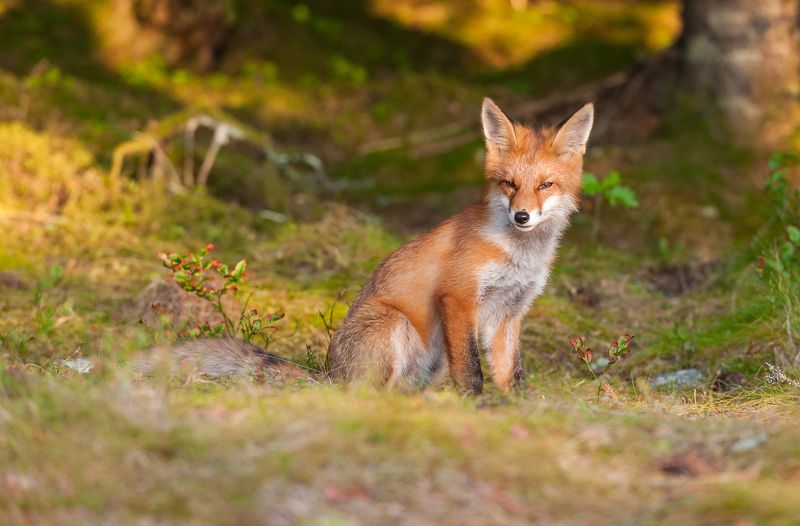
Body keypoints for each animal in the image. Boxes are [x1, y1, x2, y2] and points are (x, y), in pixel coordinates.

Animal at [139, 98, 593, 394]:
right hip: (396, 324)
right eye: (509, 184)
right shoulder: (458, 298)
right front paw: (476, 407)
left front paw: (515, 411)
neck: (519, 254)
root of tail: (329, 373)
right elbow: (472, 371)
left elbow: (512, 374)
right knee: (365, 393)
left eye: (545, 185)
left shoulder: (509, 313)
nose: (522, 217)